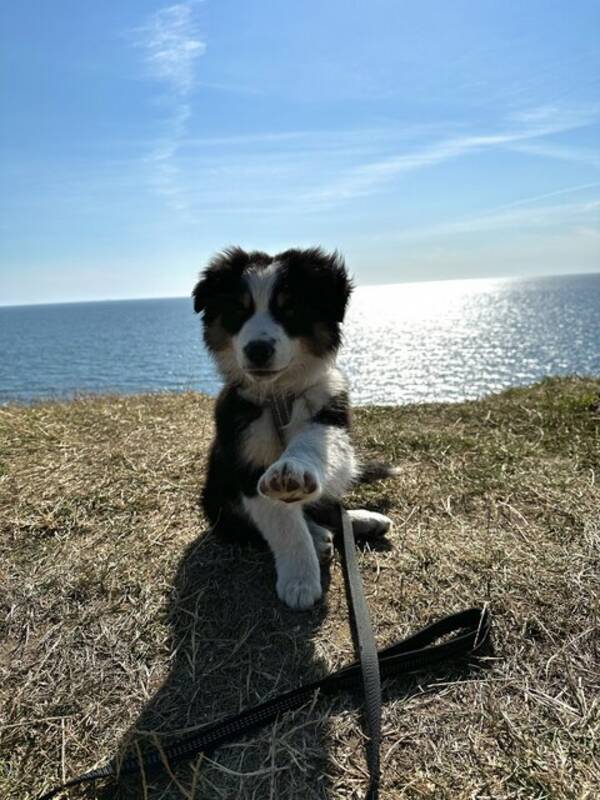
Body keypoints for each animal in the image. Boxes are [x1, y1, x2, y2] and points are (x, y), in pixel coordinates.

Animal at [192, 247, 396, 608]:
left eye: (289, 309)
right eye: (239, 311)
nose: (258, 350)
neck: (278, 395)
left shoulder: (328, 415)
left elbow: (310, 448)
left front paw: (293, 472)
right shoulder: (246, 460)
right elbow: (284, 524)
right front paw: (300, 580)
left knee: (328, 505)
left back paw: (362, 520)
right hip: (216, 499)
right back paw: (319, 537)